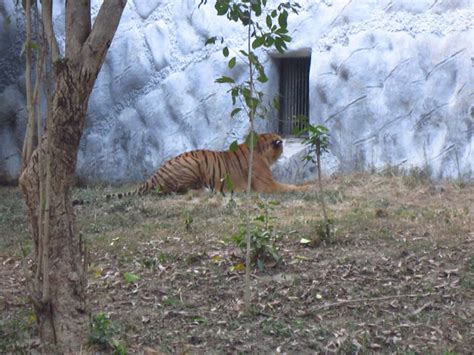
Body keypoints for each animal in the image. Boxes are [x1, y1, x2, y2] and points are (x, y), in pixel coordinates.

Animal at [108, 132, 308, 199]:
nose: (283, 150)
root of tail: (152, 177)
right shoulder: (268, 186)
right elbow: (291, 187)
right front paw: (309, 188)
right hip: (192, 164)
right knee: (178, 191)